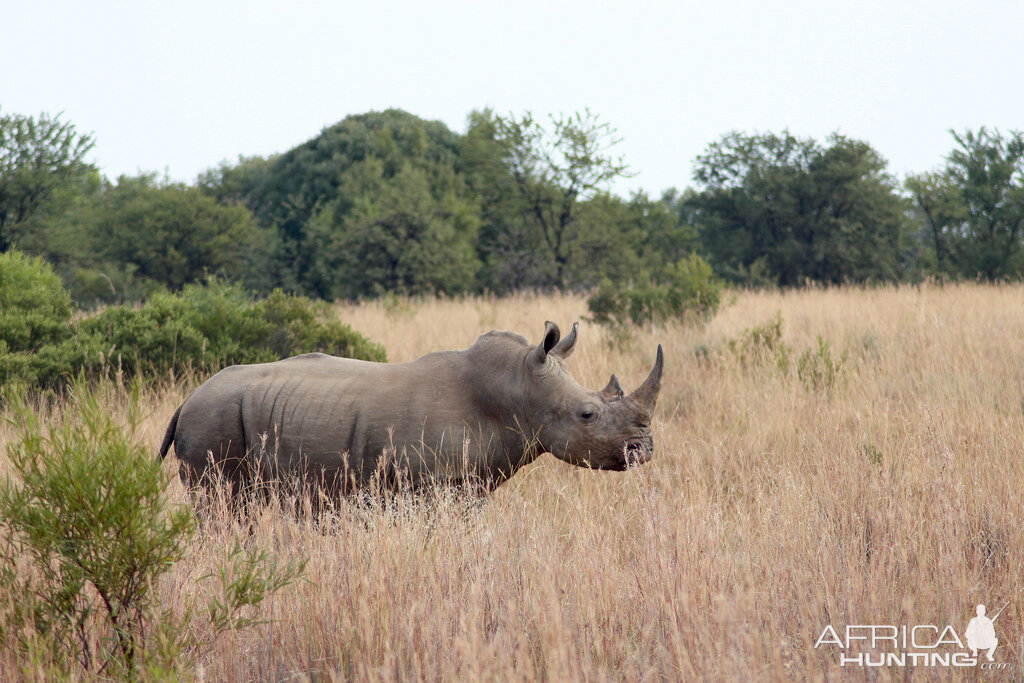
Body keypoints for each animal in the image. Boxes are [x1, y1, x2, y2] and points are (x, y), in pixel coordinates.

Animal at [155, 321, 659, 497]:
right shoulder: (429, 486)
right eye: (587, 414)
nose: (645, 449)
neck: (517, 390)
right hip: (212, 417)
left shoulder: (466, 487)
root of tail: (187, 399)